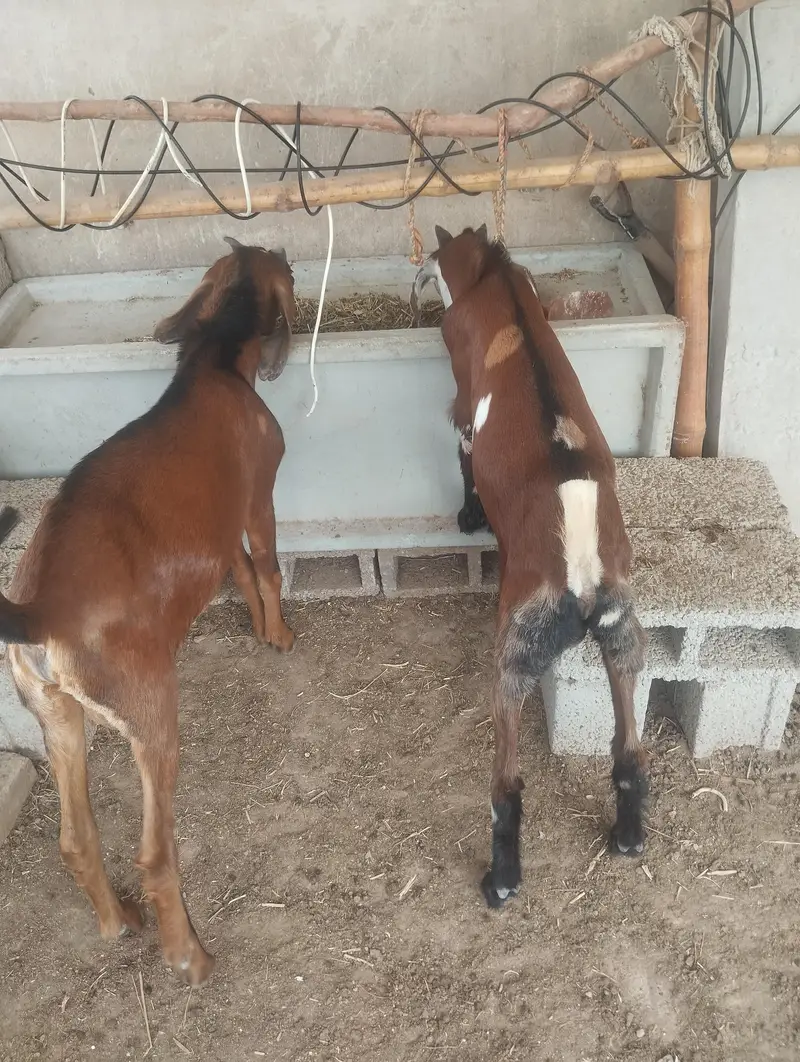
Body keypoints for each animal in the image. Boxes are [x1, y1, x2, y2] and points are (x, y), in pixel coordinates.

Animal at [0, 237, 296, 983]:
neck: (211, 363)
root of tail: (39, 608)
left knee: (76, 840)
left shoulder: (215, 533)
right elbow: (267, 564)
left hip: (55, 713)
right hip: (151, 715)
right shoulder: (258, 496)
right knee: (157, 857)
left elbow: (239, 569)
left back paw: (117, 923)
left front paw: (259, 627)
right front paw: (280, 634)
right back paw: (189, 956)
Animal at [412, 225, 648, 908]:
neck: (495, 277)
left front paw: (467, 515)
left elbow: (464, 455)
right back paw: (627, 837)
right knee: (628, 749)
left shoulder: (463, 409)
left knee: (507, 785)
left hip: (513, 653)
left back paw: (503, 880)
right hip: (625, 638)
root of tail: (580, 567)